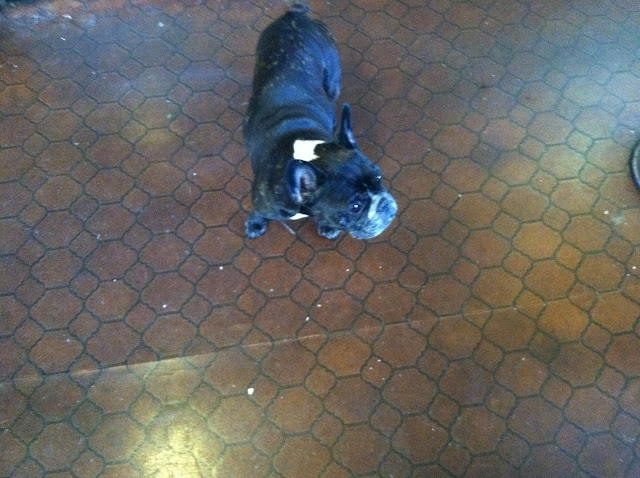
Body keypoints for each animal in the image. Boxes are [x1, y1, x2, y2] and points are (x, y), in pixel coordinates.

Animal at [243, 4, 397, 239]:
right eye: (355, 207)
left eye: (378, 176)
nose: (383, 204)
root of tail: (294, 15)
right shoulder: (263, 201)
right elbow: (260, 211)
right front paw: (256, 223)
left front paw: (327, 226)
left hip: (332, 81)